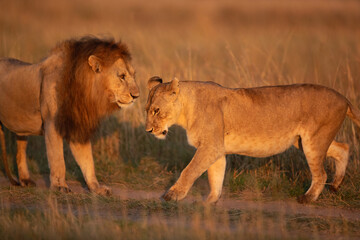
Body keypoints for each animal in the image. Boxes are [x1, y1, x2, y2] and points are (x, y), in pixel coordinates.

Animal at [0, 37, 139, 195]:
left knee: (20, 149)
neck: (86, 92)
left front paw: (96, 188)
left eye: (133, 75)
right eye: (122, 76)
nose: (136, 96)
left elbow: (88, 161)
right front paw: (59, 187)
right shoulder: (52, 125)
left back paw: (25, 180)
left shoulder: (78, 126)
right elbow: (58, 160)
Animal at [145, 76, 358, 202]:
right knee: (343, 148)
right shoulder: (217, 149)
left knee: (321, 173)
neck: (186, 110)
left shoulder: (211, 147)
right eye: (147, 110)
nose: (148, 130)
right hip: (304, 141)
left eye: (156, 110)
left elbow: (189, 170)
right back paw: (336, 185)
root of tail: (344, 98)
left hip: (313, 141)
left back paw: (307, 198)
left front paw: (172, 195)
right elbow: (216, 176)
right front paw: (211, 202)